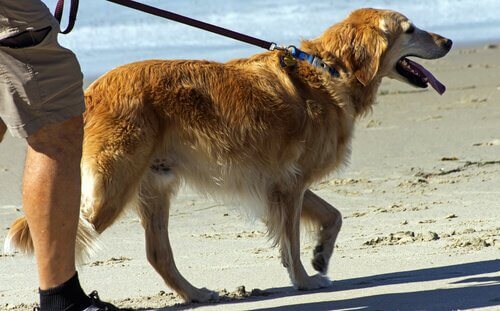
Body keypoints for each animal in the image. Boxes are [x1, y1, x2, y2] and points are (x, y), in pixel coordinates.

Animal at [3, 7, 452, 304]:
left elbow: (333, 215)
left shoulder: (283, 182)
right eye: (411, 29)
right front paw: (304, 281)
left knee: (157, 253)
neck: (331, 71)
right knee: (66, 229)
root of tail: (93, 89)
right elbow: (291, 240)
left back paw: (196, 293)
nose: (448, 40)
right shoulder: (289, 185)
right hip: (111, 189)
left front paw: (321, 255)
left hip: (154, 185)